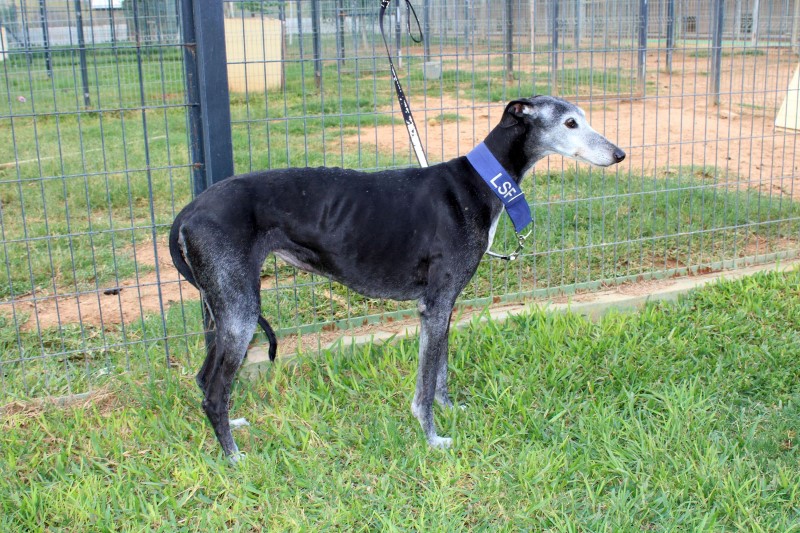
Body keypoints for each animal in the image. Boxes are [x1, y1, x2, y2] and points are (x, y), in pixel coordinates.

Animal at [169, 95, 625, 460]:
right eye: (571, 123)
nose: (619, 154)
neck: (479, 183)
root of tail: (190, 210)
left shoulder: (444, 306)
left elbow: (440, 371)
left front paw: (450, 411)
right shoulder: (434, 306)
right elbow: (424, 386)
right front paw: (433, 438)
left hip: (223, 308)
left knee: (204, 378)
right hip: (241, 312)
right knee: (214, 392)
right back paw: (234, 457)